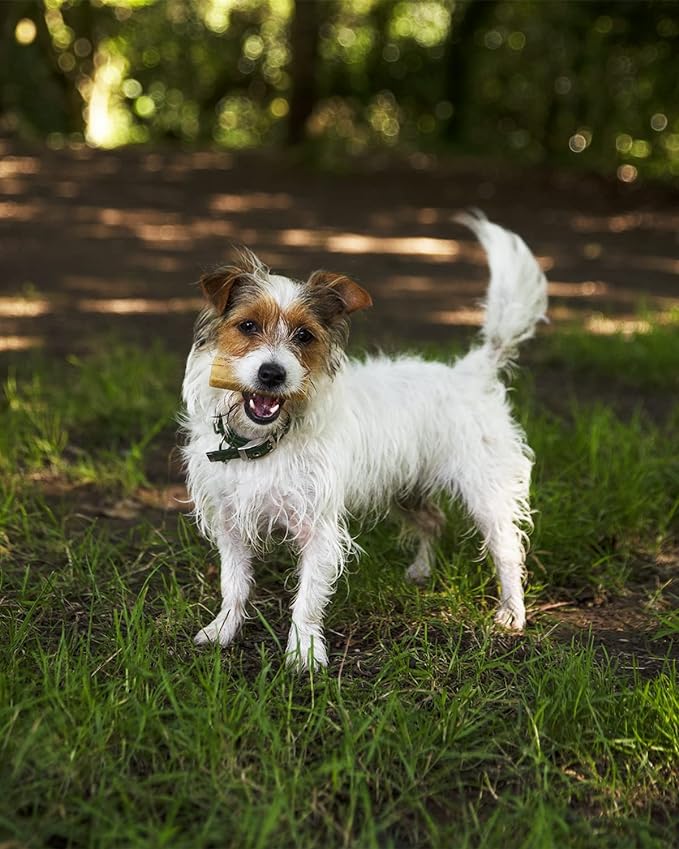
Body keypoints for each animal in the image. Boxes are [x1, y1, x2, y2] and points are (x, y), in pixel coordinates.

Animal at [183, 214, 548, 668]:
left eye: (304, 336)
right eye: (247, 326)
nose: (272, 374)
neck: (262, 443)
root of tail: (469, 372)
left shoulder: (319, 529)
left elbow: (307, 599)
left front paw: (304, 654)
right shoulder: (231, 523)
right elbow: (234, 584)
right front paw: (223, 631)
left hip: (486, 494)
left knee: (506, 550)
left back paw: (511, 611)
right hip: (406, 488)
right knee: (434, 521)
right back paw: (422, 570)